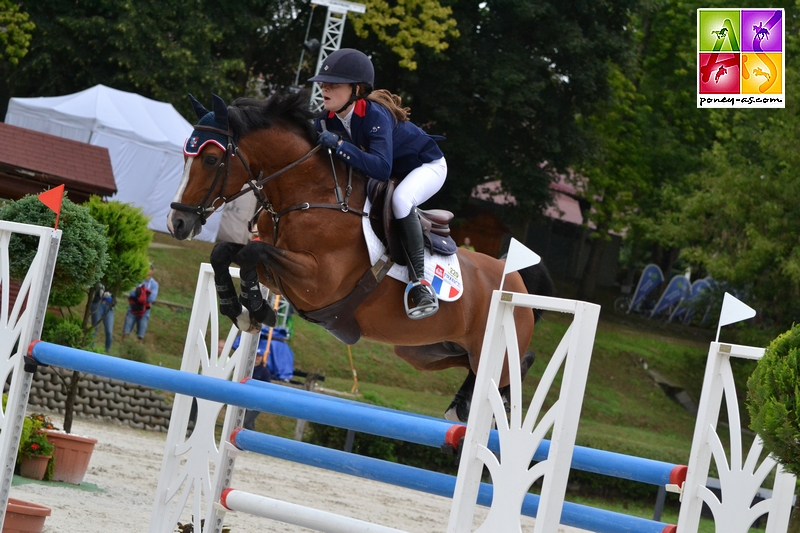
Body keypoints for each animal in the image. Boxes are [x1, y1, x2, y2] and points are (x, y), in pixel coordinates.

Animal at [167, 92, 556, 424]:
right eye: (185, 157)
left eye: (212, 159)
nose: (177, 223)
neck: (310, 194)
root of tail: (515, 280)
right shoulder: (281, 274)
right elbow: (227, 253)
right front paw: (243, 310)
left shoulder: (317, 282)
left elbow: (252, 251)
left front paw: (255, 309)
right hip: (423, 351)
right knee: (479, 365)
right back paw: (461, 405)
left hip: (491, 345)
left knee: (513, 365)